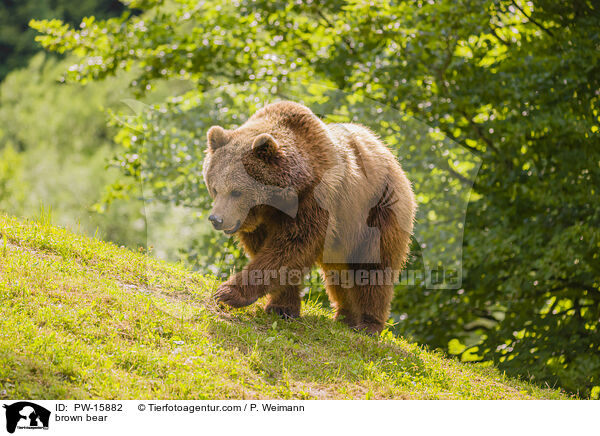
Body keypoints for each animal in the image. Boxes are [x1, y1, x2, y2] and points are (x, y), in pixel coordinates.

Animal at [204, 101, 414, 334]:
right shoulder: (262, 222)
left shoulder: (317, 200)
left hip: (376, 212)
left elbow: (290, 247)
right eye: (215, 188)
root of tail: (389, 154)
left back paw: (368, 324)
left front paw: (228, 293)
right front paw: (282, 307)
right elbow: (269, 251)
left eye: (236, 192)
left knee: (373, 267)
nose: (216, 219)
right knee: (339, 274)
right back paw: (345, 316)